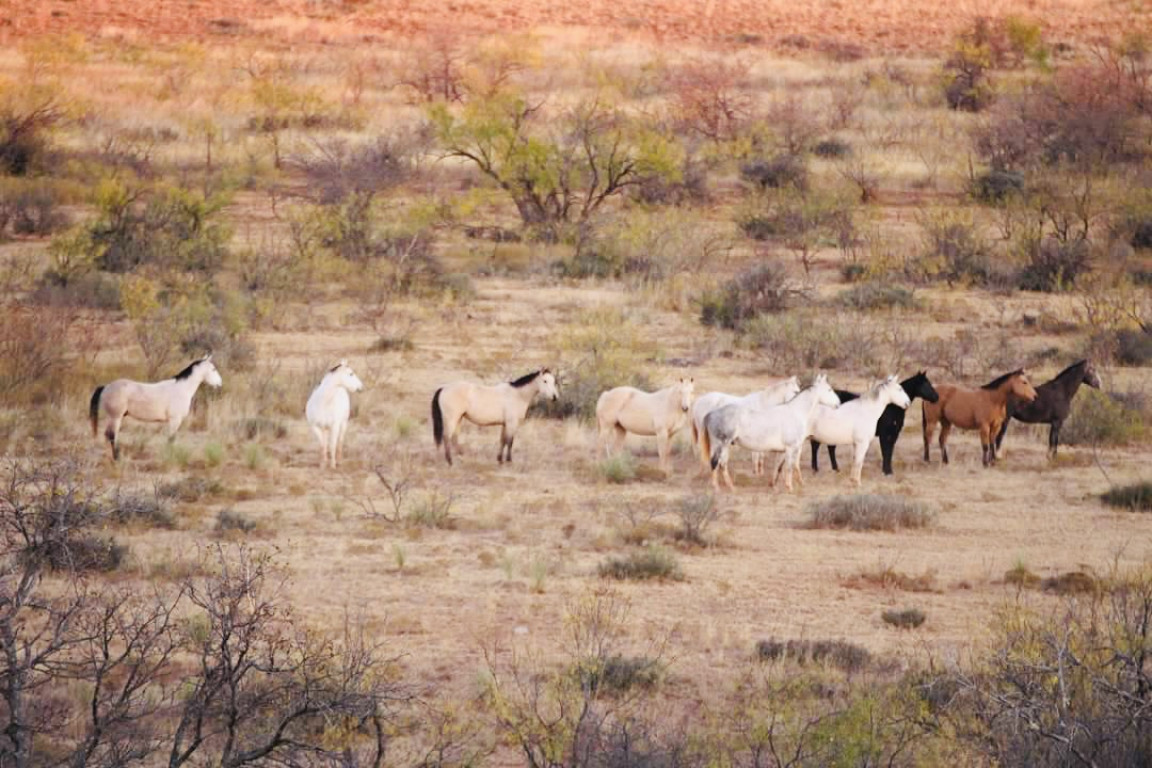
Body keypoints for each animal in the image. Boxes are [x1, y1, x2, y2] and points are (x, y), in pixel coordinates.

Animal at [89, 354, 223, 461]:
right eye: (213, 369)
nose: (220, 384)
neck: (181, 389)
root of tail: (106, 387)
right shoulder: (174, 420)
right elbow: (171, 439)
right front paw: (170, 458)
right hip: (116, 417)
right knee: (112, 436)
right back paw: (117, 458)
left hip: (112, 418)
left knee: (107, 435)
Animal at [702, 374, 840, 492]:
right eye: (829, 389)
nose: (838, 404)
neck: (795, 412)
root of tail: (712, 413)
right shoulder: (791, 448)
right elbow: (789, 467)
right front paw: (790, 488)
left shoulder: (782, 451)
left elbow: (778, 467)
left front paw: (774, 485)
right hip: (721, 444)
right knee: (716, 462)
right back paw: (717, 488)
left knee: (721, 464)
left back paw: (731, 487)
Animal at [811, 371, 940, 476]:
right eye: (926, 384)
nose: (936, 397)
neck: (891, 407)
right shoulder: (884, 434)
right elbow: (885, 451)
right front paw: (886, 472)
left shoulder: (894, 434)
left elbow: (889, 452)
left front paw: (889, 471)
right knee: (816, 446)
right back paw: (816, 469)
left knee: (829, 447)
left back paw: (835, 469)